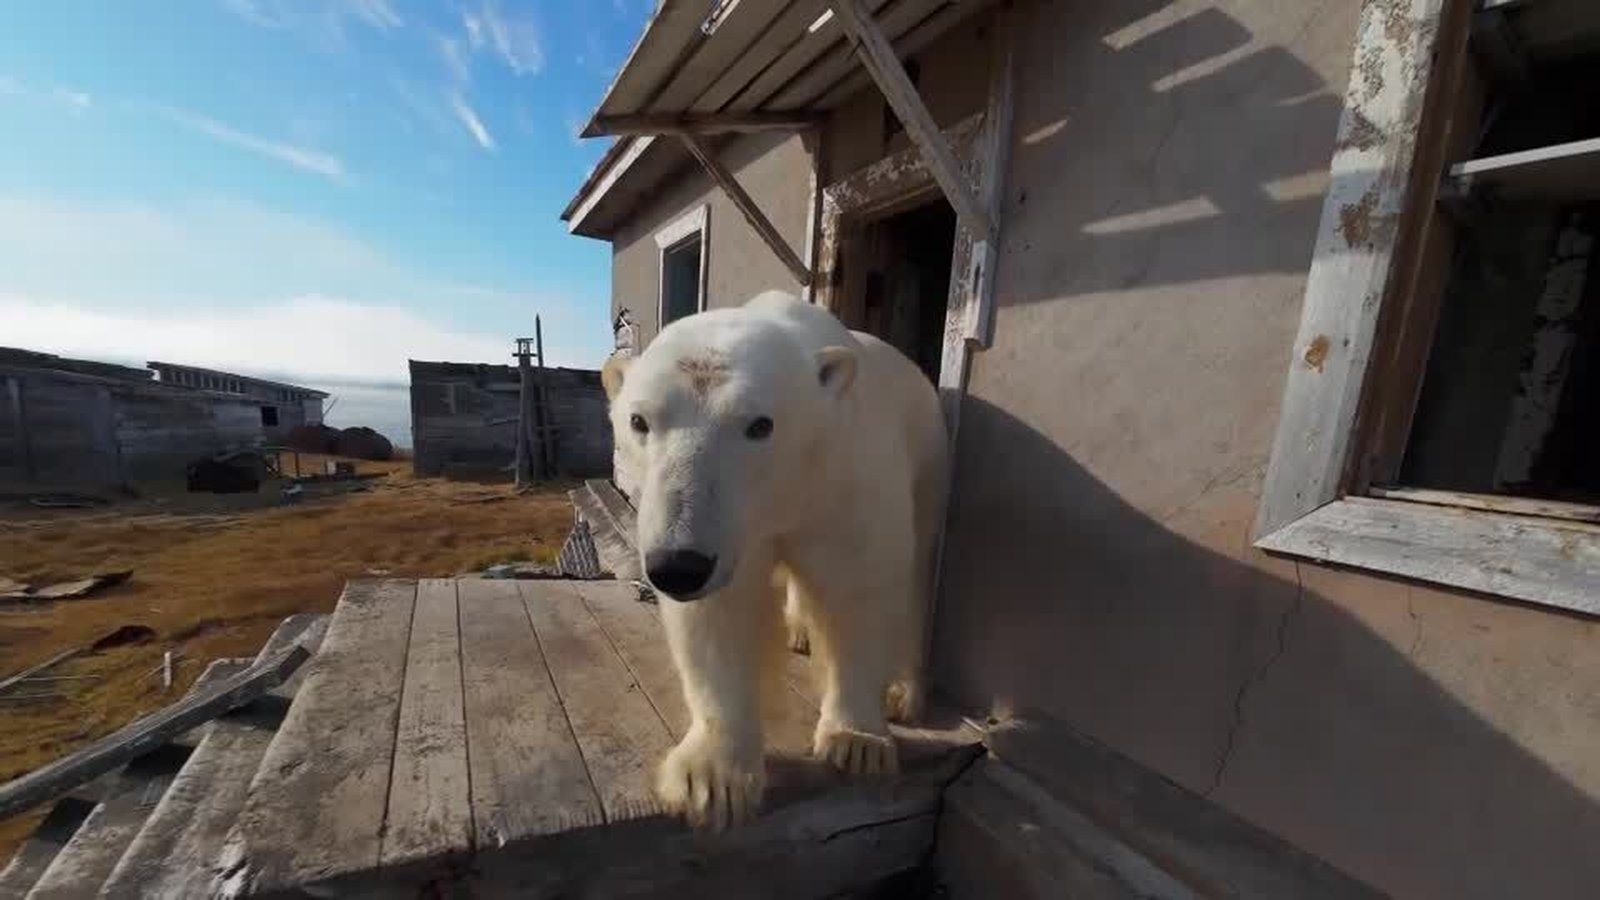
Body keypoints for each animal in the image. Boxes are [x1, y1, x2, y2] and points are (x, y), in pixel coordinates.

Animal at [602, 289, 949, 831]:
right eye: (639, 421)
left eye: (759, 425)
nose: (677, 565)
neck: (782, 491)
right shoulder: (731, 533)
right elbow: (721, 613)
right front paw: (713, 781)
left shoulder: (843, 480)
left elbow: (860, 591)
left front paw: (857, 741)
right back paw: (799, 630)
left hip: (929, 458)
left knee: (917, 574)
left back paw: (904, 692)